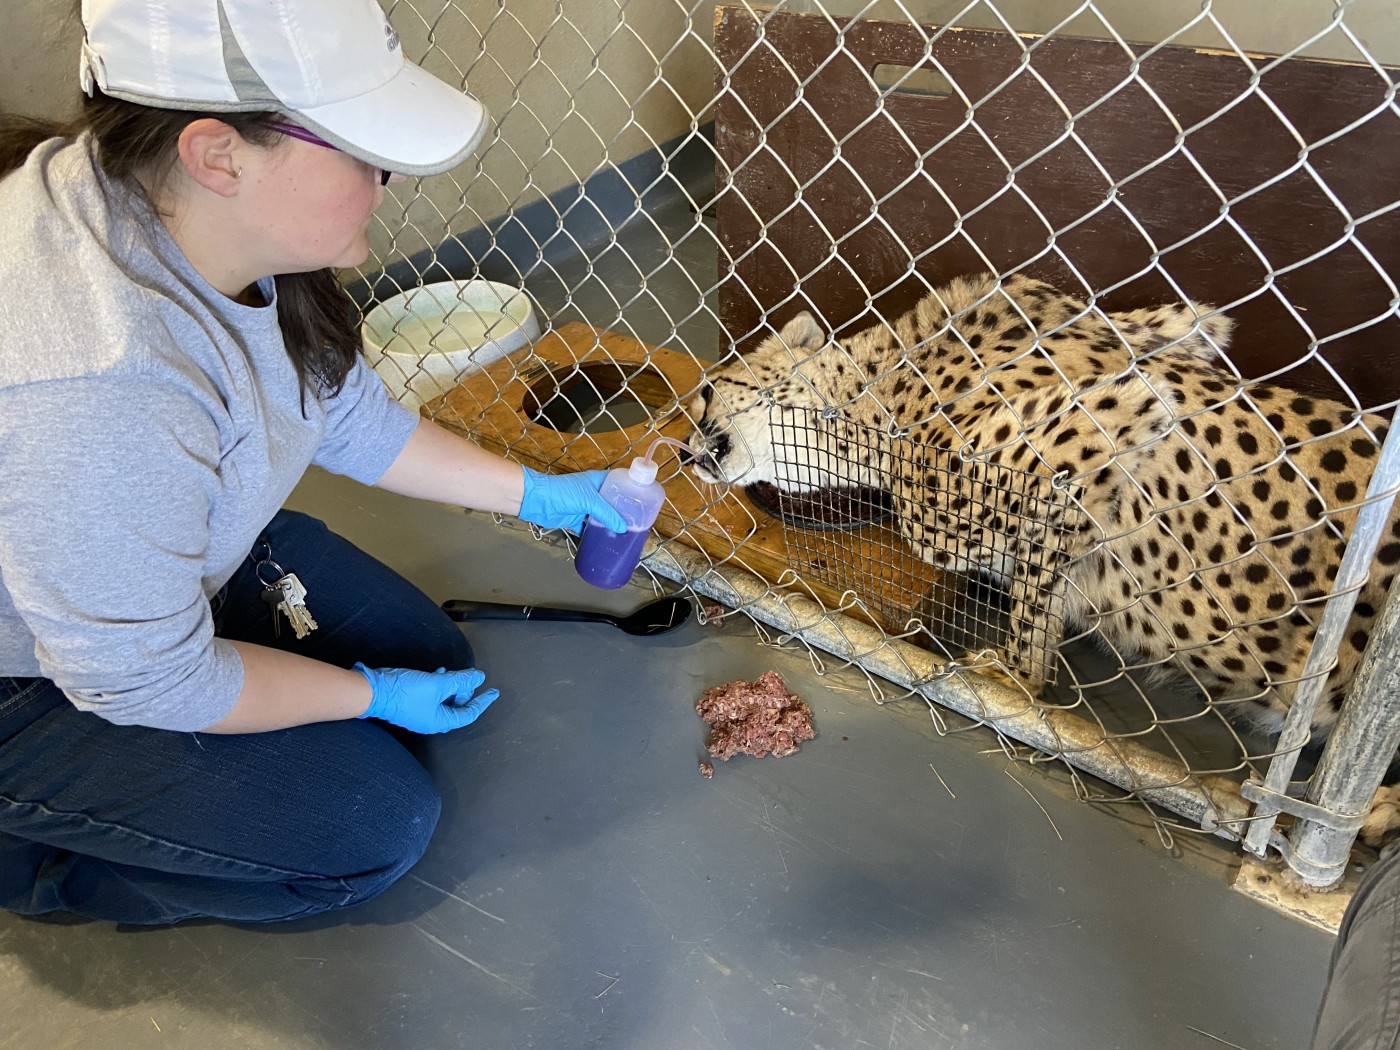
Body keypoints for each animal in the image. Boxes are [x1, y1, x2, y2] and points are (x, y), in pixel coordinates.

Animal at [691, 271, 1400, 840]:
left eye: (704, 394)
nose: (685, 452)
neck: (876, 395)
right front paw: (1021, 668)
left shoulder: (1093, 432)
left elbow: (1021, 567)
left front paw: (1015, 677)